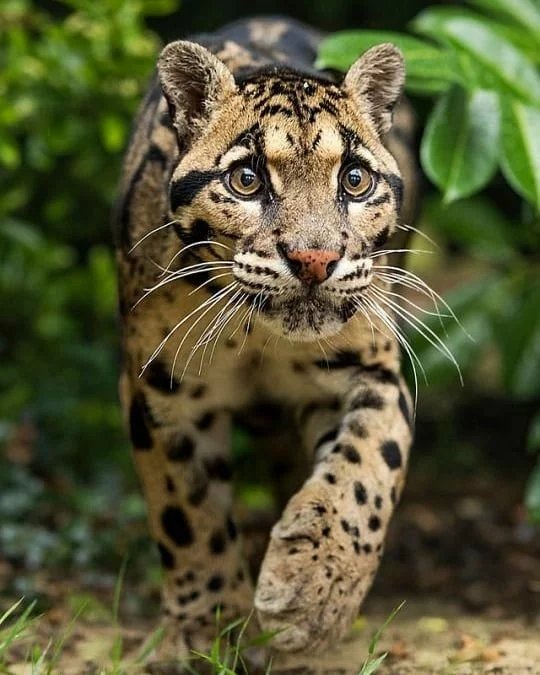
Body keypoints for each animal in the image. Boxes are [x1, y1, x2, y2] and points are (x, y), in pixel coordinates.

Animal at [113, 15, 418, 672]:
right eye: (246, 180)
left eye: (354, 180)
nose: (315, 259)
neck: (258, 338)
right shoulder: (161, 390)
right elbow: (187, 515)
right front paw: (207, 631)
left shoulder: (373, 369)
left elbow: (367, 469)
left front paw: (314, 594)